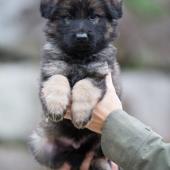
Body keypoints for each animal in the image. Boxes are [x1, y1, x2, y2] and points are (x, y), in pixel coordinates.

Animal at [30, 0, 122, 169]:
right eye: (67, 17)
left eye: (93, 17)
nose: (81, 37)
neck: (78, 57)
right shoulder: (51, 69)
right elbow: (58, 80)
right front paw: (55, 106)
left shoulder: (99, 73)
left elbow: (84, 86)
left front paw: (80, 115)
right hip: (38, 144)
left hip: (104, 146)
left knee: (100, 159)